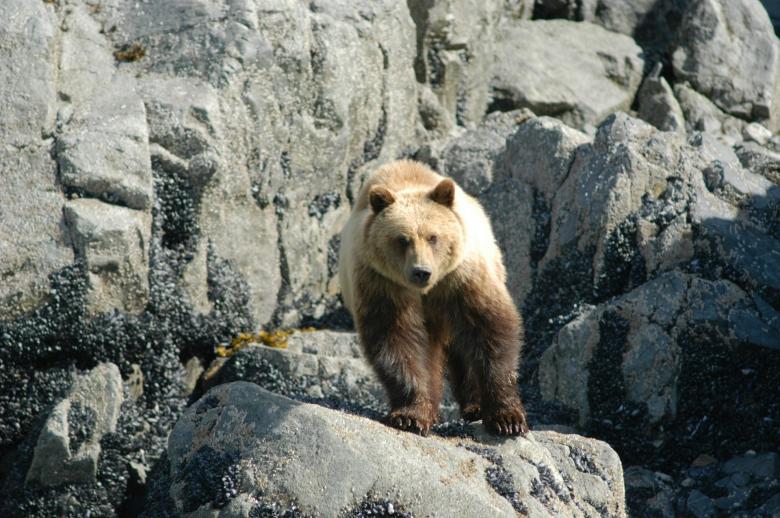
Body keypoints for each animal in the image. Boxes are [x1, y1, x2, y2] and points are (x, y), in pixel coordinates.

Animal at [338, 159, 528, 436]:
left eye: (433, 237)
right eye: (402, 239)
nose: (421, 272)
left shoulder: (462, 278)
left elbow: (490, 330)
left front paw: (507, 418)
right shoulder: (382, 284)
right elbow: (396, 340)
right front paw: (411, 415)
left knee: (462, 348)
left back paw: (474, 407)